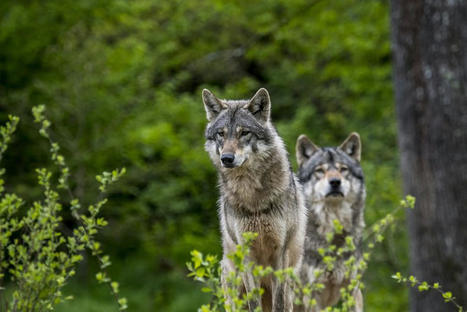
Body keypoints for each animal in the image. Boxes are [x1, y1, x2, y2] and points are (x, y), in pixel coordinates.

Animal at [201, 88, 308, 312]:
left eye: (244, 133)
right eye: (221, 133)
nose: (227, 158)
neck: (252, 198)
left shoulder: (280, 252)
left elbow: (279, 302)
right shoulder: (246, 254)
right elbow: (253, 302)